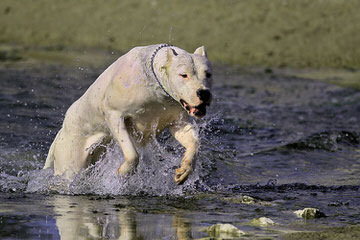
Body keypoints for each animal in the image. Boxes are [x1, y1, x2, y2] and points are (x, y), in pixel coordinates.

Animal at [45, 44, 214, 185]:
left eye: (208, 74)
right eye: (183, 75)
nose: (204, 93)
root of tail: (62, 131)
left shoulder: (178, 121)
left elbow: (194, 143)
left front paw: (185, 169)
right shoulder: (115, 115)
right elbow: (132, 153)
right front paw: (124, 173)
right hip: (70, 158)